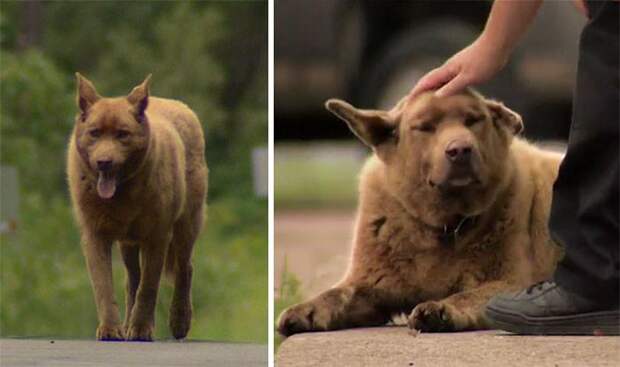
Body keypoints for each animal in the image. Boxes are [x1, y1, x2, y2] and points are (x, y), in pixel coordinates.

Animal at [67, 74, 208, 342]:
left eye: (123, 134)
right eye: (94, 133)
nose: (104, 162)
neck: (121, 196)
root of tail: (180, 106)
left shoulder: (158, 236)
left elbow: (149, 287)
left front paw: (142, 329)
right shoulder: (95, 235)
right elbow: (104, 286)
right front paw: (110, 328)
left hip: (186, 226)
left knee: (185, 268)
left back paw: (179, 321)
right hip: (128, 244)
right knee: (132, 278)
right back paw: (127, 322)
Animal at [276, 89, 560, 336]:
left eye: (473, 120)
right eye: (425, 127)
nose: (460, 150)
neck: (445, 225)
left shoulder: (513, 282)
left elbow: (468, 295)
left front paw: (440, 309)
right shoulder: (370, 284)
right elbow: (336, 294)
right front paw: (304, 310)